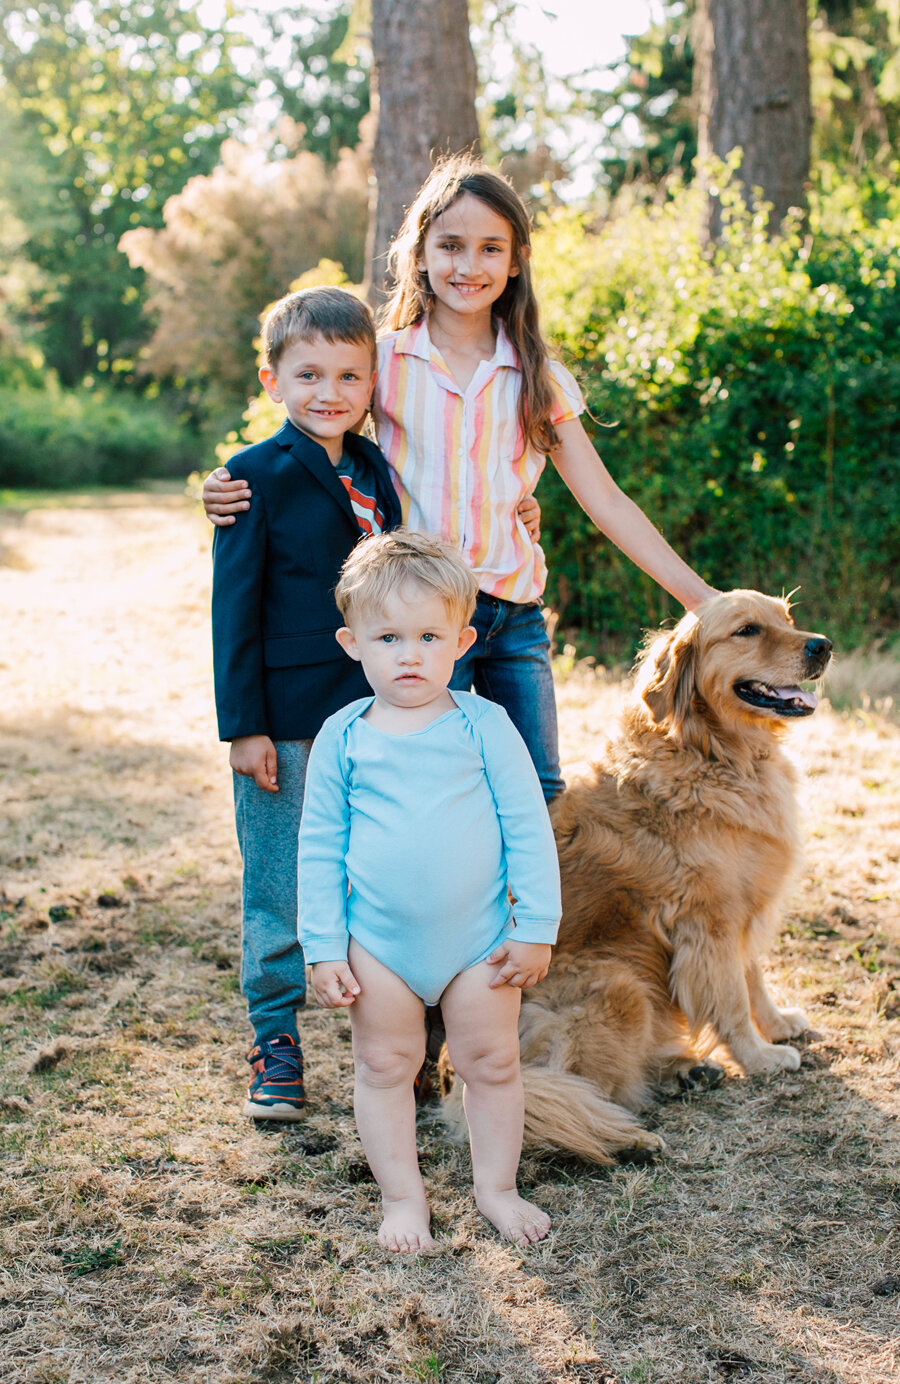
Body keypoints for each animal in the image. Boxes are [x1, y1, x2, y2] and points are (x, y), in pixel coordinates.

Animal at [440, 589, 825, 1162]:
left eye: (788, 619)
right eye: (747, 630)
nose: (822, 646)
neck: (711, 752)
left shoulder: (742, 904)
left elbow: (753, 977)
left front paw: (777, 1027)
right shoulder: (709, 921)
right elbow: (732, 997)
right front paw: (759, 1058)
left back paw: (687, 1072)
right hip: (621, 986)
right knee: (555, 1095)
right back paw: (629, 1135)